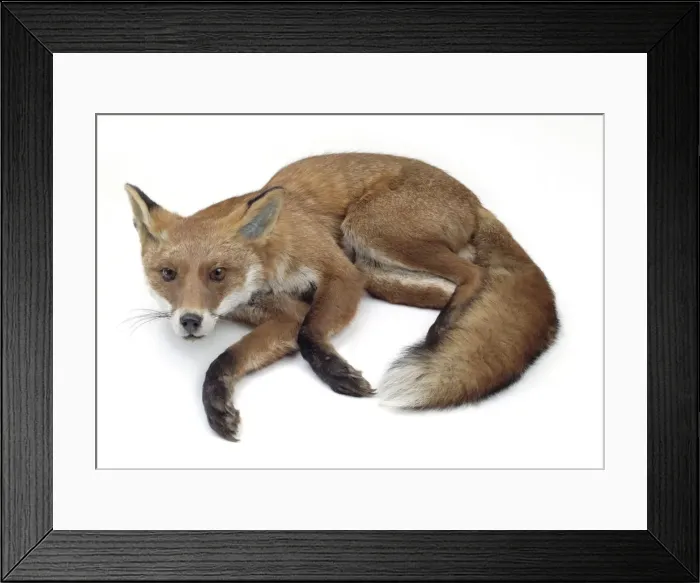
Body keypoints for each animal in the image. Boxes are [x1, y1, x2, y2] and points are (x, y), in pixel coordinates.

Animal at [125, 153, 559, 441]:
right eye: (168, 275)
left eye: (217, 273)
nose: (190, 321)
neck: (268, 268)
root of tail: (476, 202)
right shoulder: (282, 314)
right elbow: (226, 359)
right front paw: (216, 403)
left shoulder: (338, 273)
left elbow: (310, 334)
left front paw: (337, 374)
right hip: (375, 272)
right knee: (460, 285)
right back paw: (451, 322)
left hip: (368, 231)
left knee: (474, 273)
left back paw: (443, 330)